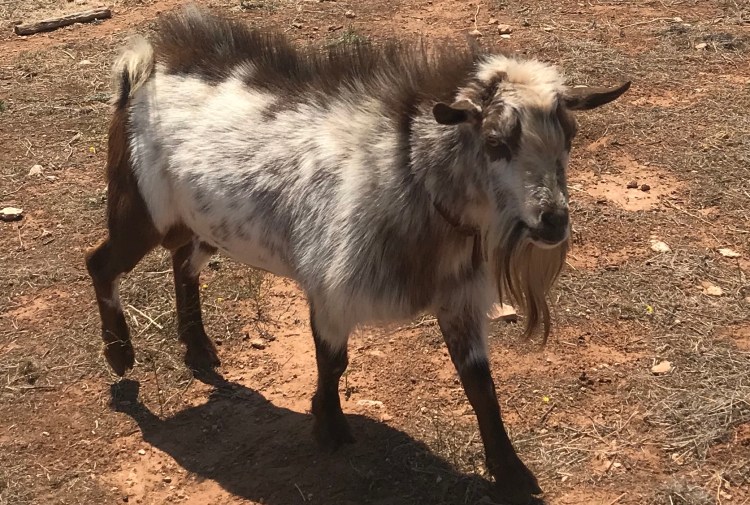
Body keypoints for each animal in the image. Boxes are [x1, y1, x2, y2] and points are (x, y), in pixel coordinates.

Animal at [85, 8, 629, 504]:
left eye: (571, 137)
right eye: (496, 143)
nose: (553, 222)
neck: (409, 172)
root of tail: (145, 68)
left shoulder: (457, 300)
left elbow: (479, 383)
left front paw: (512, 473)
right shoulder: (331, 292)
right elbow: (333, 361)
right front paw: (329, 426)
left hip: (200, 222)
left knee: (183, 265)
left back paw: (198, 350)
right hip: (140, 210)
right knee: (100, 262)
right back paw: (120, 356)